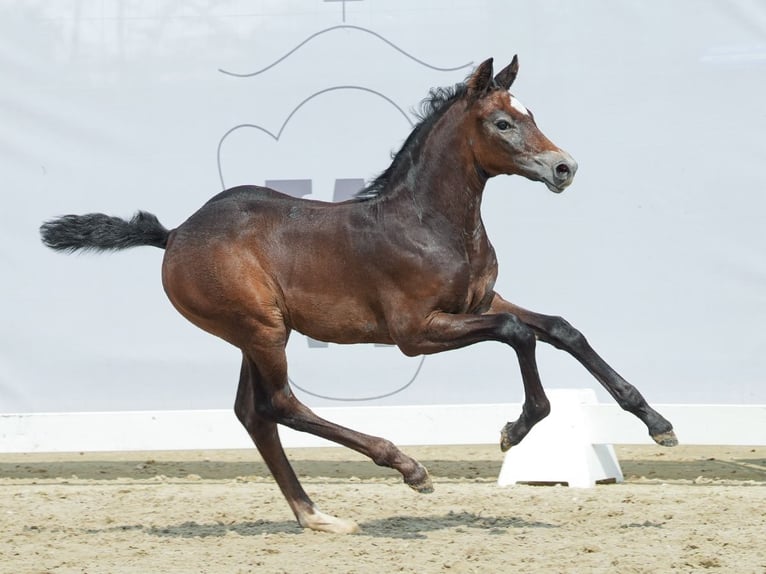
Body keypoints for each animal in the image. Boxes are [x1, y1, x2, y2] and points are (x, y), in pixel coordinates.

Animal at [42, 57, 680, 536]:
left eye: (531, 113)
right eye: (502, 123)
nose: (564, 167)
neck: (430, 221)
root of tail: (174, 234)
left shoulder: (479, 302)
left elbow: (562, 327)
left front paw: (657, 422)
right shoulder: (416, 332)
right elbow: (520, 334)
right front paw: (516, 429)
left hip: (256, 333)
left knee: (253, 412)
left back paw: (316, 516)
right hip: (263, 330)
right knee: (280, 405)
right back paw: (407, 468)